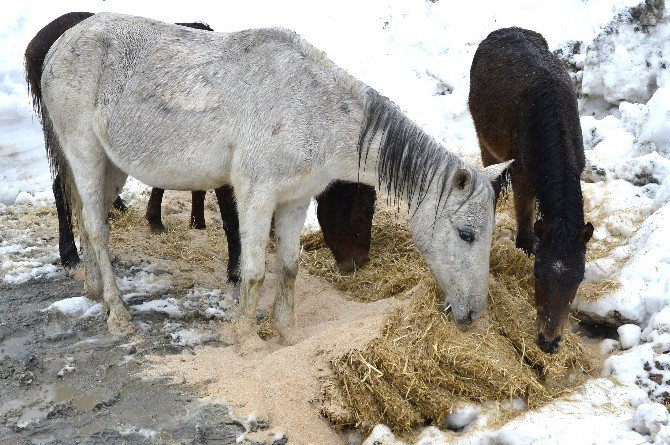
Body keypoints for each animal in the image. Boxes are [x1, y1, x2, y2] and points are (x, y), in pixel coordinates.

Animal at [36, 12, 510, 334]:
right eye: (467, 234)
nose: (473, 313)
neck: (312, 110)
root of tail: (58, 47)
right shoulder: (256, 195)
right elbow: (254, 271)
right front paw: (244, 336)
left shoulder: (295, 199)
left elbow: (289, 266)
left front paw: (283, 331)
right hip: (85, 155)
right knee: (96, 229)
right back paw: (117, 312)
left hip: (112, 165)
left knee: (88, 218)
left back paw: (93, 291)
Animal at [470, 27, 596, 354]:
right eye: (538, 273)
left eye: (579, 278)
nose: (549, 342)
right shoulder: (521, 177)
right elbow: (526, 237)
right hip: (487, 144)